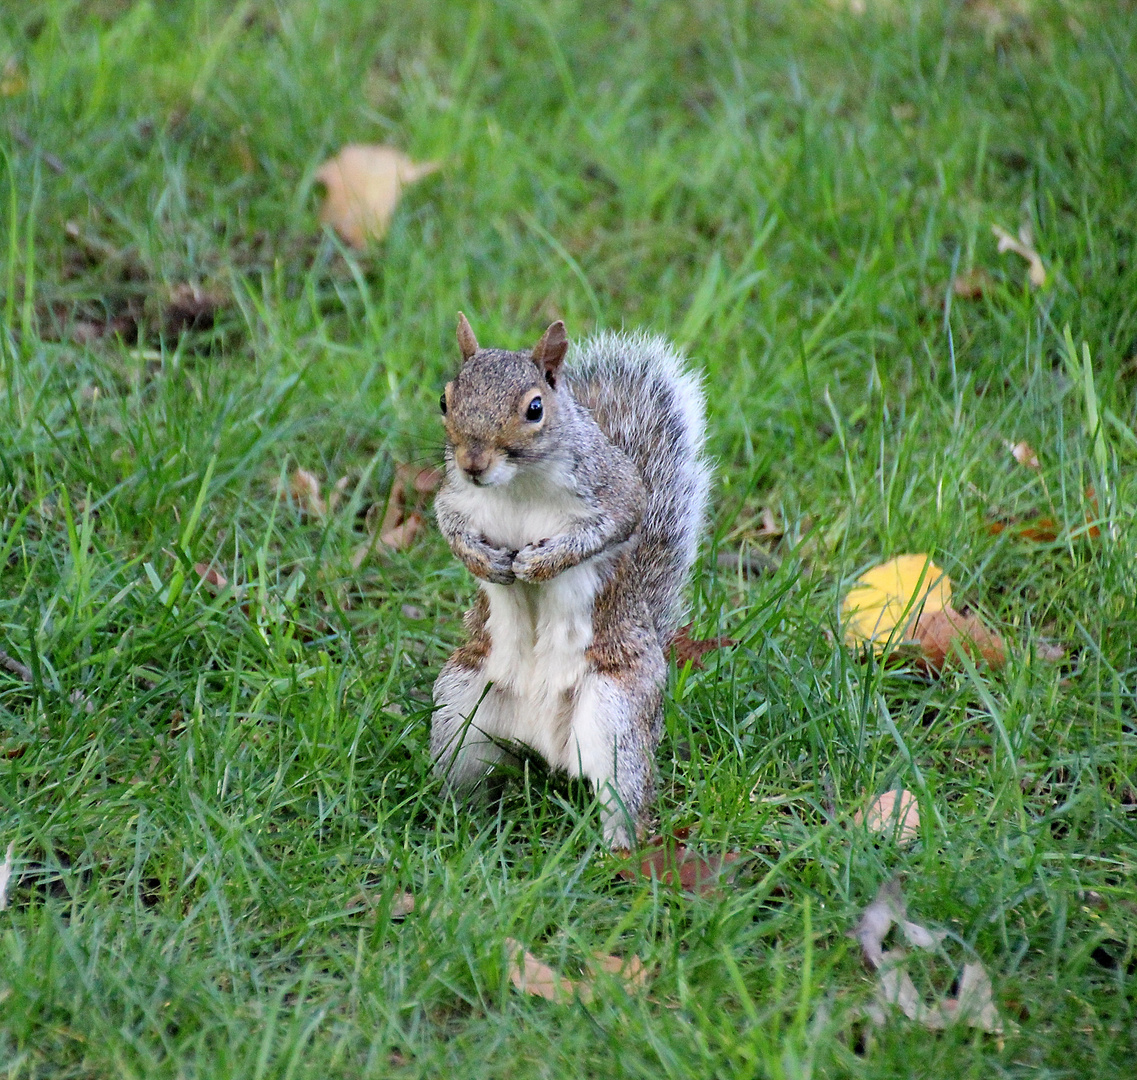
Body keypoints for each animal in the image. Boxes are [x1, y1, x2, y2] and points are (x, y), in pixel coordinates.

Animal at [429, 309, 704, 850]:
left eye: (535, 408)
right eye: (446, 400)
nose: (472, 463)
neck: (517, 485)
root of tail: (543, 739)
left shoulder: (614, 490)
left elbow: (613, 523)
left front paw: (539, 565)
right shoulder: (454, 497)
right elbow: (450, 527)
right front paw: (487, 562)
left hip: (616, 715)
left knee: (624, 792)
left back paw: (616, 850)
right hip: (459, 706)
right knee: (462, 774)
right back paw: (456, 829)